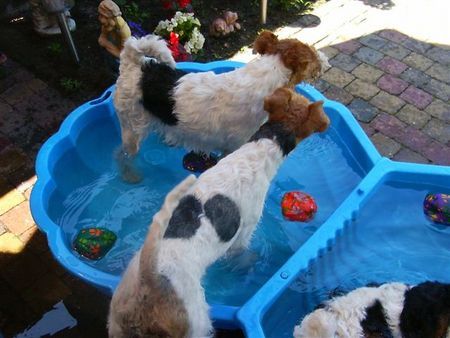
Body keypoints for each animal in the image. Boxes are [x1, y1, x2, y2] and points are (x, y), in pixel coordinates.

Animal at [107, 88, 328, 338]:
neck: (260, 150)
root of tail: (150, 280)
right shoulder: (245, 232)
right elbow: (241, 252)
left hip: (117, 323)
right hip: (197, 323)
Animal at [114, 29, 328, 182]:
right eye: (311, 55)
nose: (325, 62)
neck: (266, 74)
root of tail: (133, 64)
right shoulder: (235, 147)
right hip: (132, 128)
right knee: (121, 155)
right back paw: (130, 176)